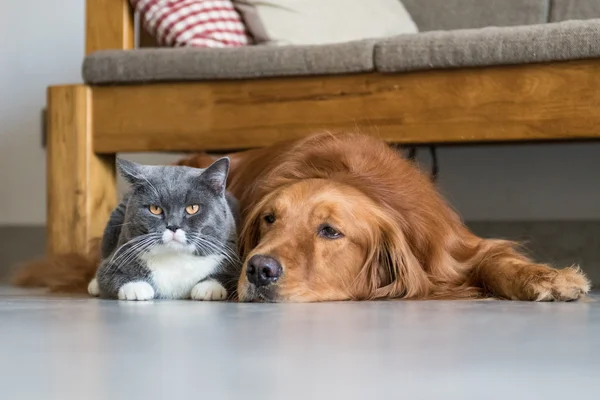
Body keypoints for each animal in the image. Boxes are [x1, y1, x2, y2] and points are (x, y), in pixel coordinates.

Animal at [87, 158, 241, 302]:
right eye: (155, 209)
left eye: (193, 208)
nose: (173, 226)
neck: (175, 258)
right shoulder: (120, 254)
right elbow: (107, 275)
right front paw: (137, 287)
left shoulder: (231, 256)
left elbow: (229, 276)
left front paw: (208, 288)